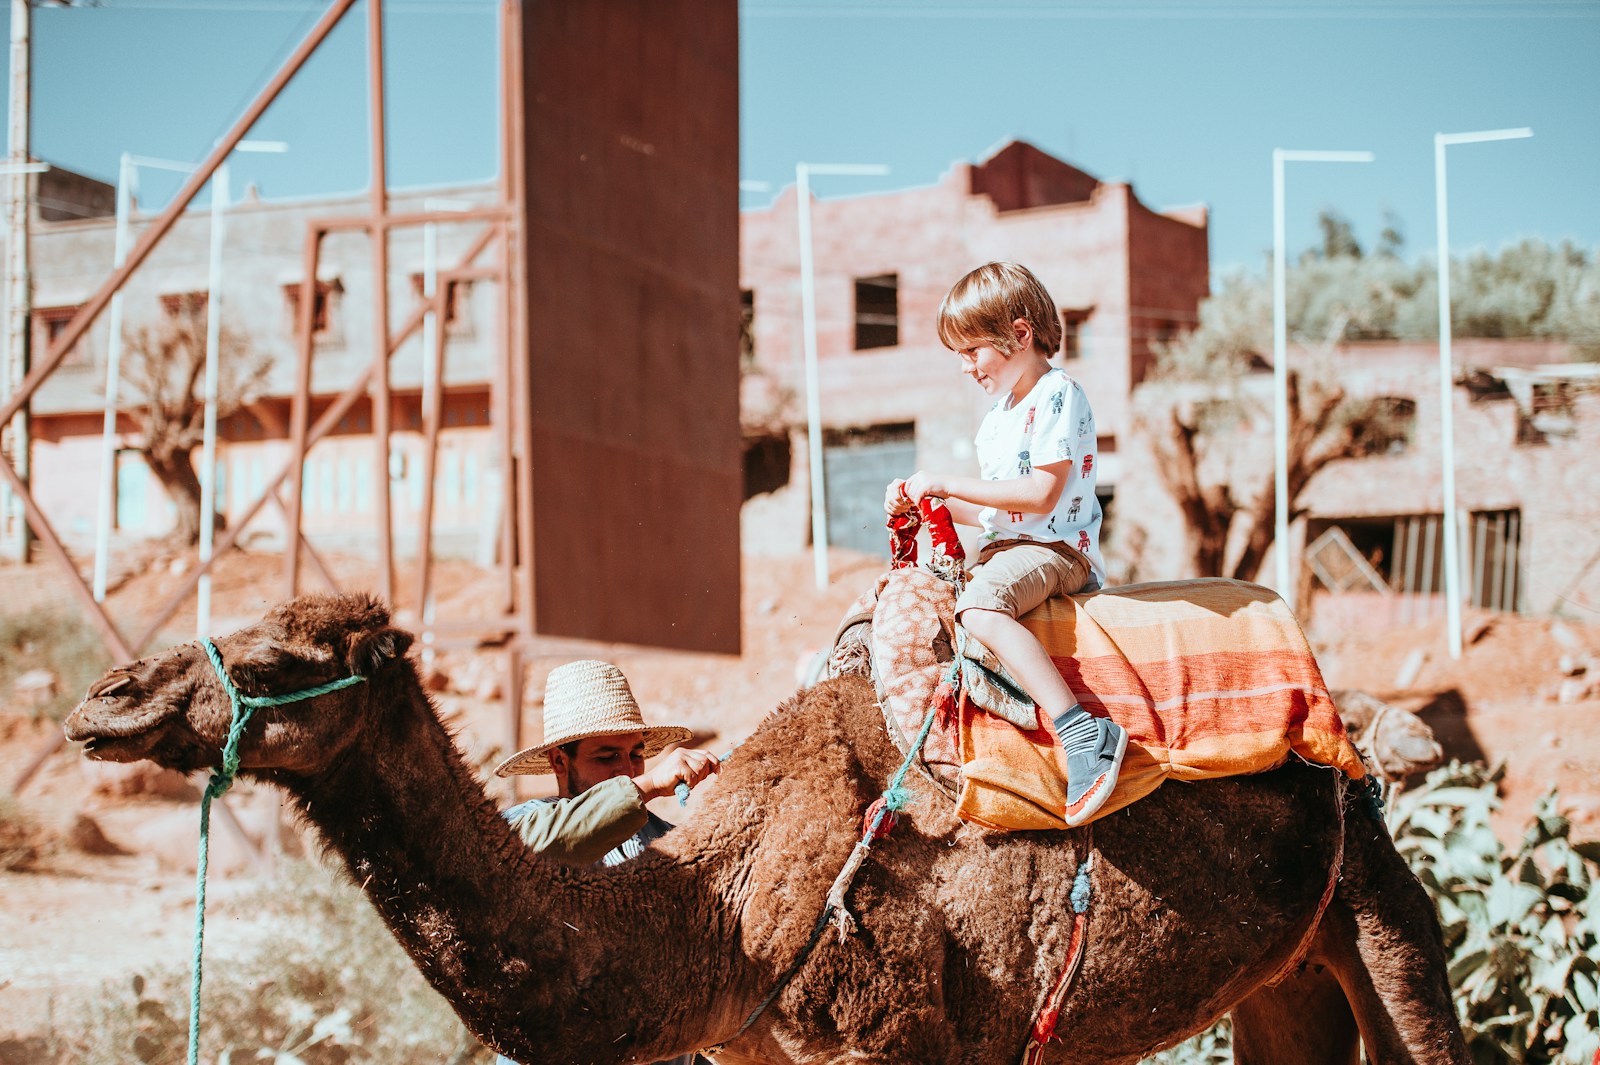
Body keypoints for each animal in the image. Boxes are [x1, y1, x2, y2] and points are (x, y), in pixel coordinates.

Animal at [68, 591, 1472, 1055]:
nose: (103, 702)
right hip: (1281, 979)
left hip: (1381, 914)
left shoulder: (901, 1042)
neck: (727, 924)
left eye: (280, 654)